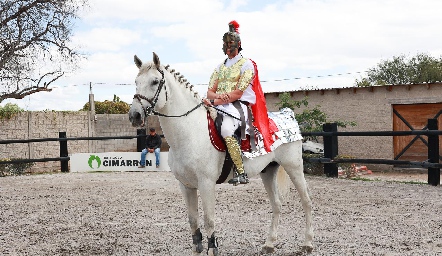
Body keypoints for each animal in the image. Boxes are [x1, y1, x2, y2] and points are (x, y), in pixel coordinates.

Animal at [129, 52, 314, 256]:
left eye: (155, 81)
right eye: (136, 81)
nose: (134, 116)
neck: (190, 132)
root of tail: (288, 115)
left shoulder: (206, 184)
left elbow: (209, 220)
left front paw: (212, 249)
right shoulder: (186, 186)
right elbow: (193, 221)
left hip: (294, 167)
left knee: (306, 201)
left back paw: (307, 243)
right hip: (268, 171)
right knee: (277, 205)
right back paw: (269, 244)